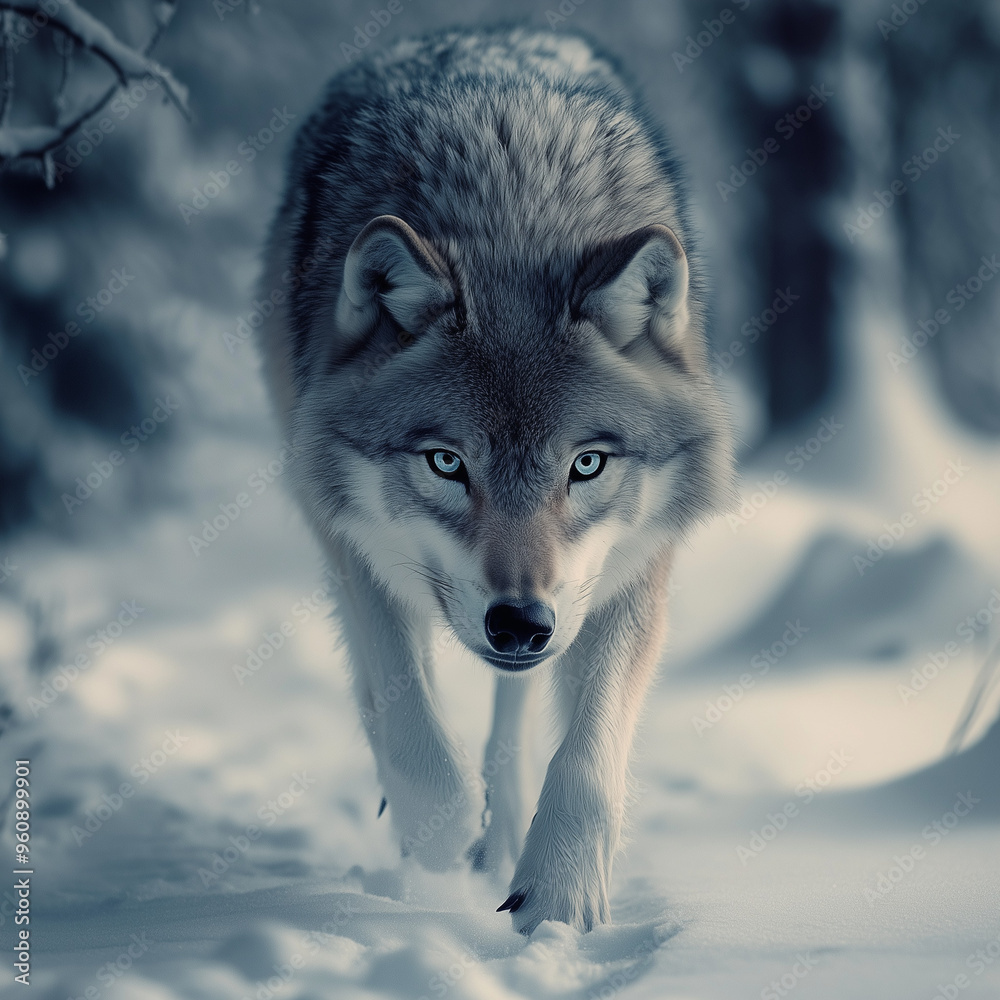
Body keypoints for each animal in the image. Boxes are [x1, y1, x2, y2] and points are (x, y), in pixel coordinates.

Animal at [257, 26, 733, 935]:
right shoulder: (348, 542)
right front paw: (437, 839)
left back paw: (508, 821)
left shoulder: (631, 572)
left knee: (516, 713)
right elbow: (410, 732)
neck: (516, 217)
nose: (518, 624)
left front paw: (558, 891)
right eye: (449, 463)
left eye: (587, 465)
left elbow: (587, 757)